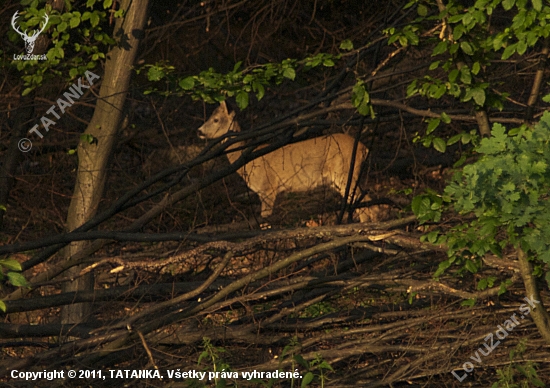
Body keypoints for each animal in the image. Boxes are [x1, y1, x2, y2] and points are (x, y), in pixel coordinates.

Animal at [199, 101, 380, 223]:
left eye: (216, 119)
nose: (199, 131)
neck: (248, 163)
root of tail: (364, 148)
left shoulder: (267, 188)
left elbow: (265, 223)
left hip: (343, 172)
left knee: (366, 206)